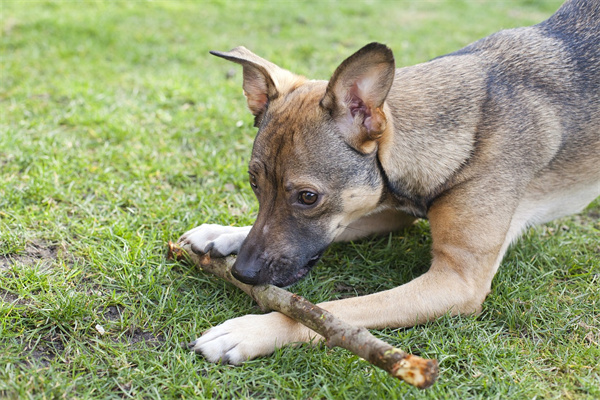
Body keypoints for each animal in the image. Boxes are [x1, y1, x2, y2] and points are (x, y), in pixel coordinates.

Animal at [179, 0, 600, 366]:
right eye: (254, 183)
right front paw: (222, 232)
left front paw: (250, 332)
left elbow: (333, 312)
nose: (243, 274)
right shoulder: (386, 211)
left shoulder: (456, 281)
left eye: (308, 197)